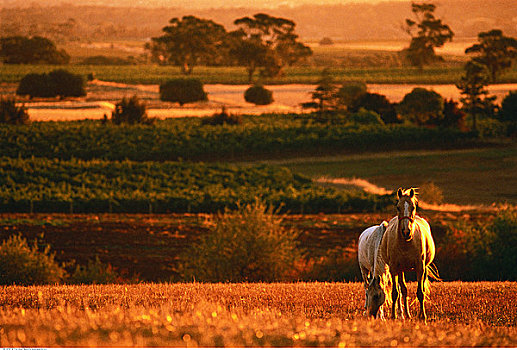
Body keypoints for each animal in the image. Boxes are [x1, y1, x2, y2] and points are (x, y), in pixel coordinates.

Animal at [376, 189, 438, 322]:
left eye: (413, 207)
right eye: (398, 207)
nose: (406, 232)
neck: (406, 243)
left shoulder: (420, 267)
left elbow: (420, 292)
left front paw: (423, 316)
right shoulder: (394, 268)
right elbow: (395, 292)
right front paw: (394, 316)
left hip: (423, 268)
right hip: (401, 270)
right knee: (403, 289)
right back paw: (406, 314)